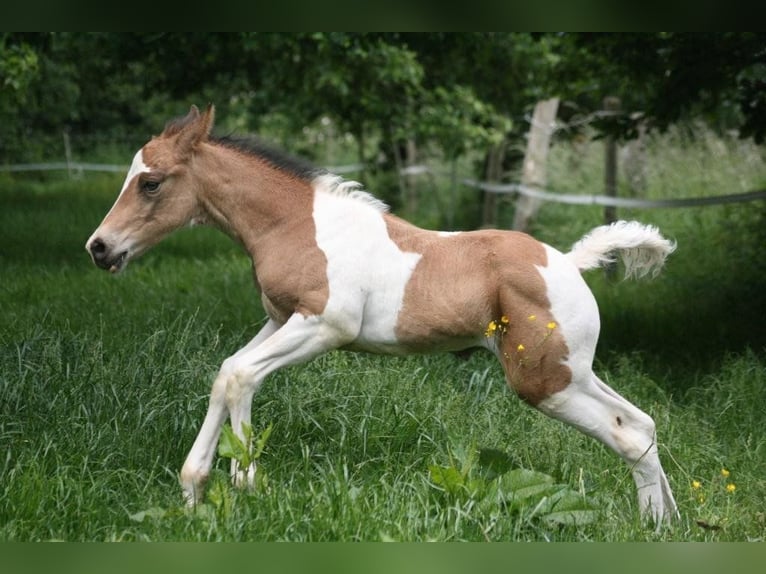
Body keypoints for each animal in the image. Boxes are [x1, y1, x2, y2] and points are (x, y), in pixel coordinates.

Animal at [86, 104, 679, 526]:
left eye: (151, 182)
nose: (99, 248)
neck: (296, 224)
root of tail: (571, 262)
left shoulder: (324, 326)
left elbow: (240, 376)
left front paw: (244, 483)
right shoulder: (280, 320)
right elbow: (228, 372)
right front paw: (194, 490)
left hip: (543, 381)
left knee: (627, 435)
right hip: (572, 371)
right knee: (642, 424)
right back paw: (664, 524)